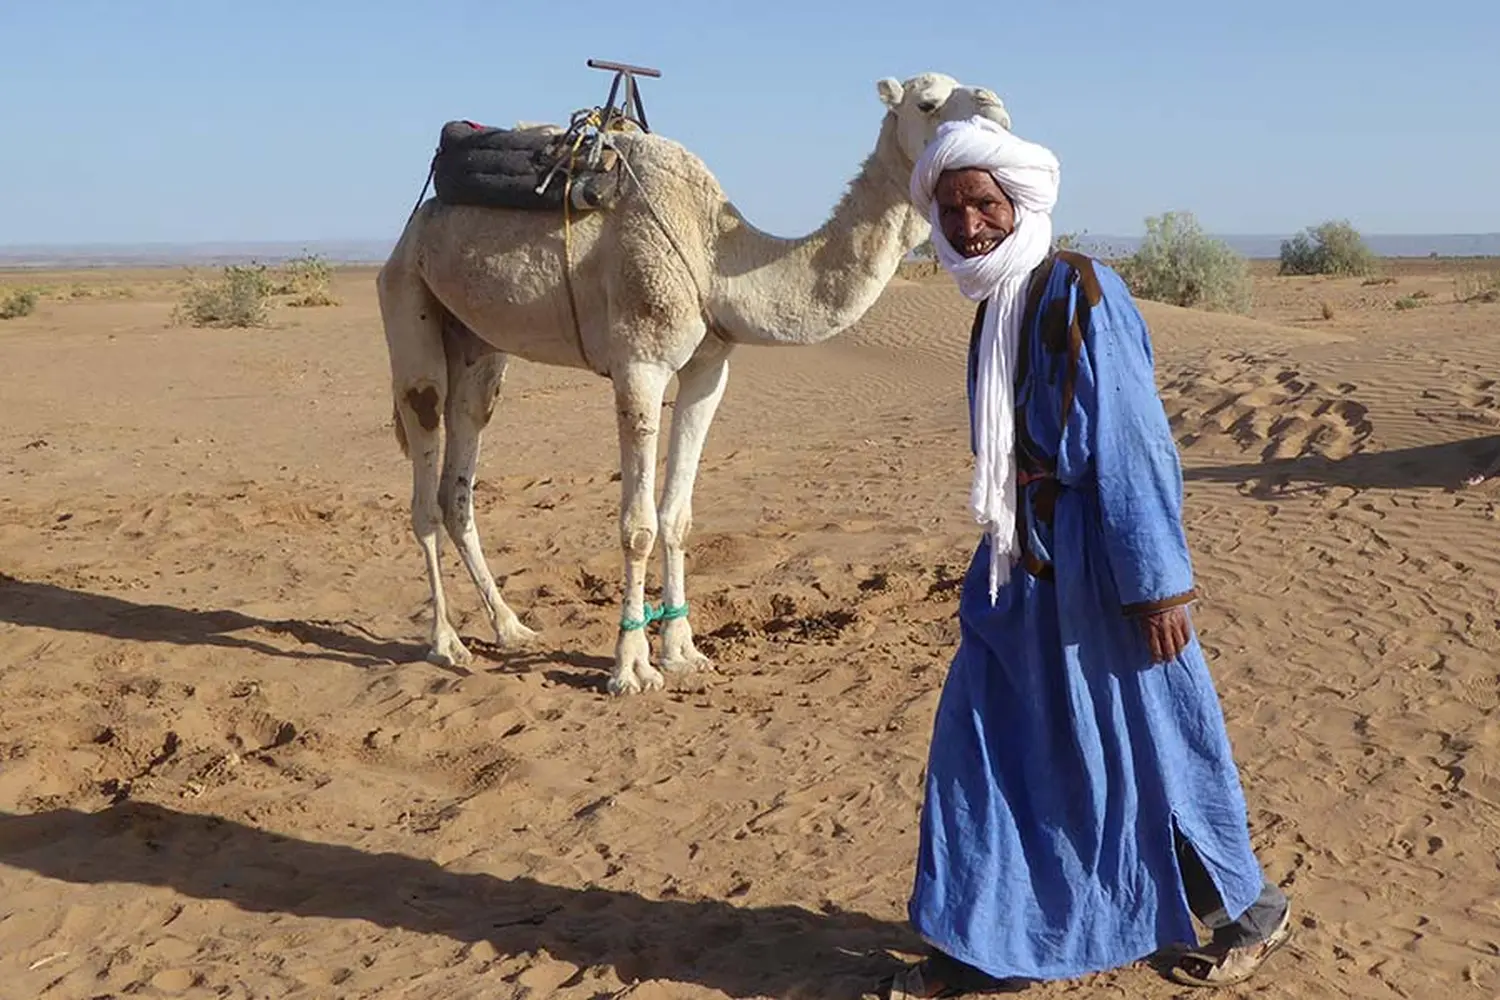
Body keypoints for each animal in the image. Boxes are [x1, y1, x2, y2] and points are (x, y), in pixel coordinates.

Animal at [376, 71, 1012, 695]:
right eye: (928, 102)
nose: (997, 107)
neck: (715, 257)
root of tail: (412, 229)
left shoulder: (710, 369)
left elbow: (676, 516)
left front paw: (683, 652)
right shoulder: (639, 363)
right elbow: (637, 525)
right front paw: (630, 667)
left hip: (479, 345)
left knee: (460, 476)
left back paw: (510, 627)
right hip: (408, 301)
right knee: (424, 467)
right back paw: (445, 643)